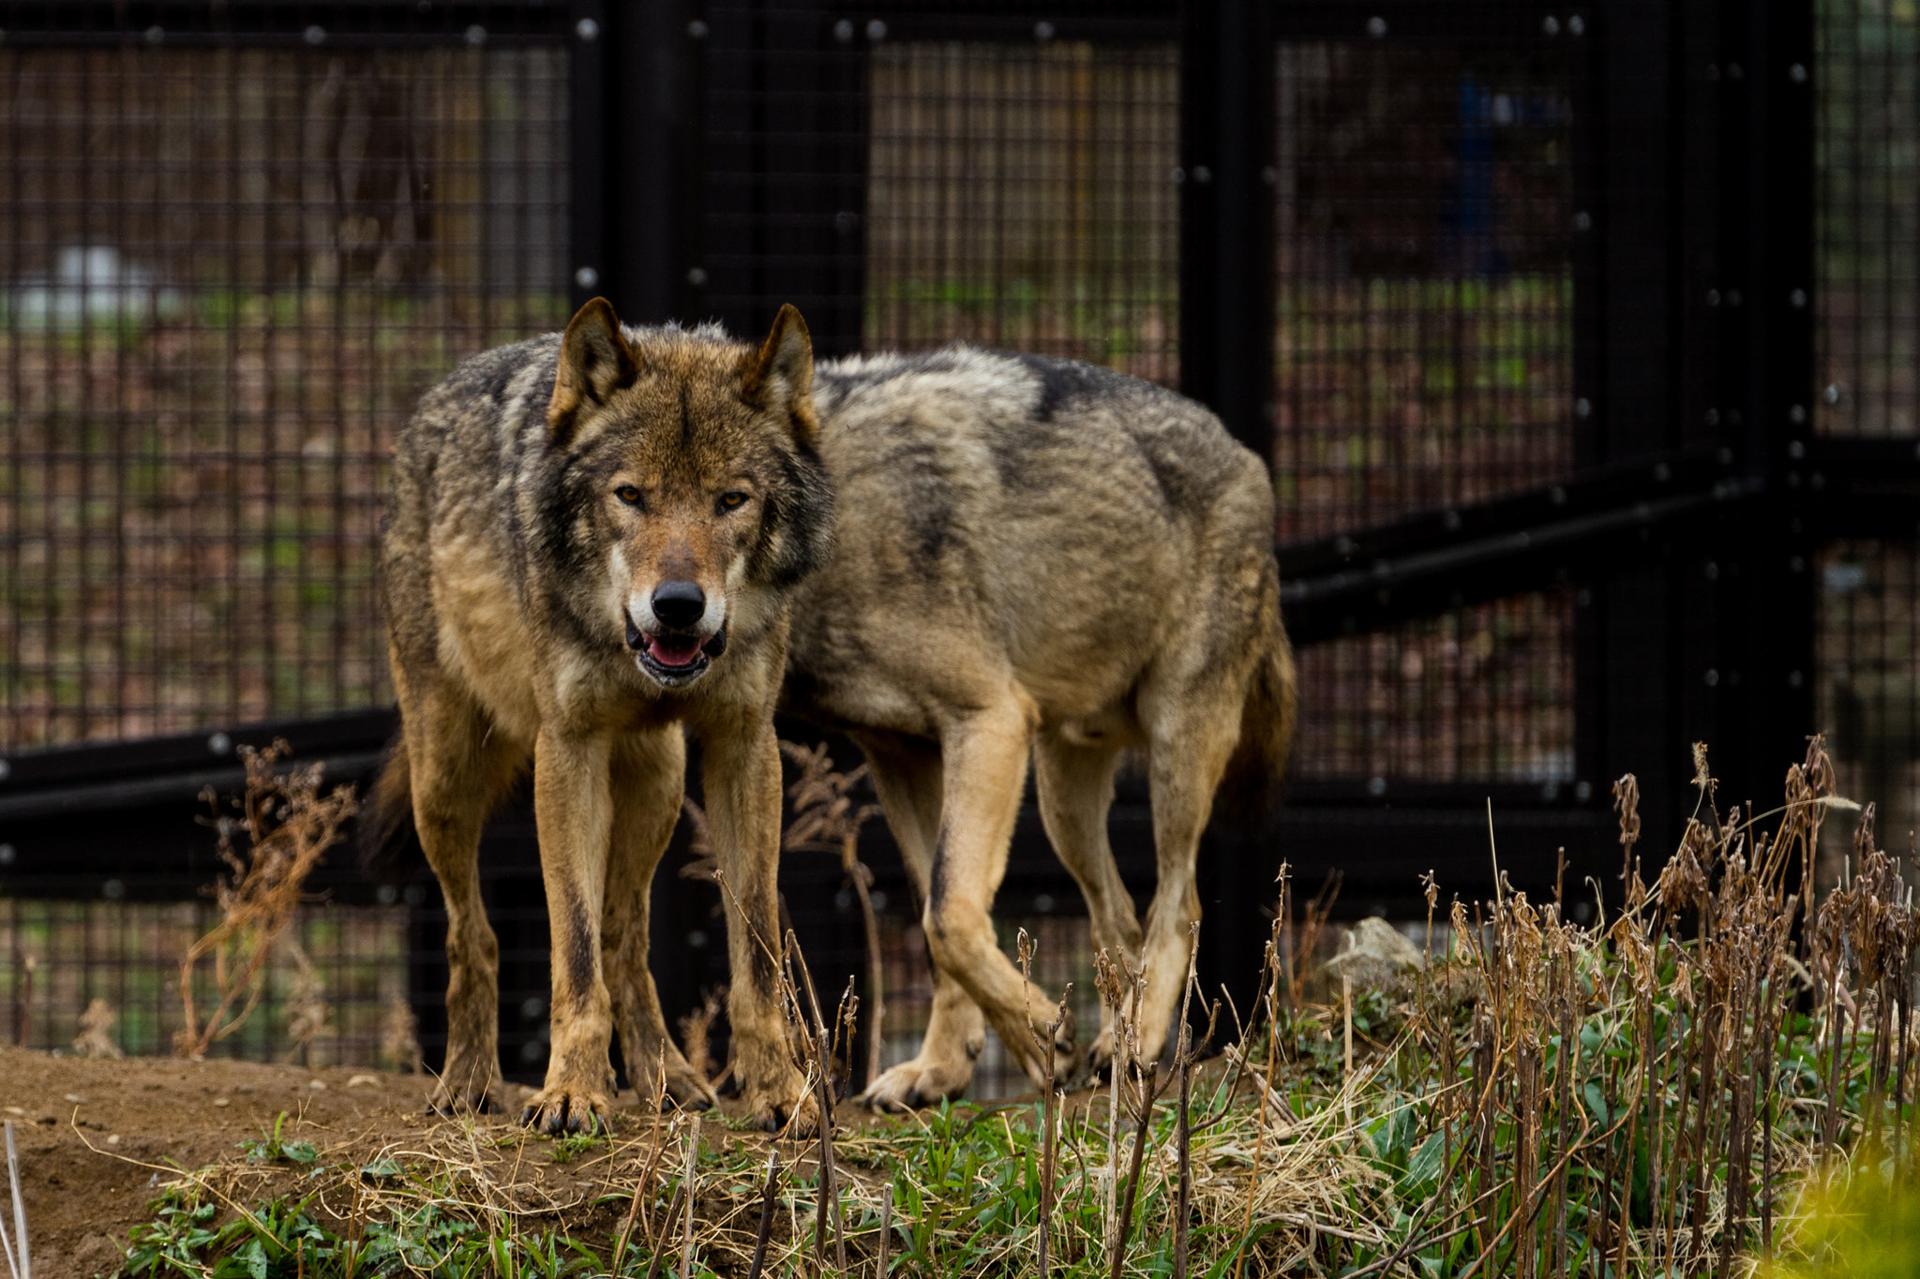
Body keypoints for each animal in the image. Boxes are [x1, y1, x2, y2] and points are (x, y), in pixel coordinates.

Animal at [366, 301, 833, 1136]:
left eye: (731, 500)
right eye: (630, 495)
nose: (677, 605)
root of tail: (429, 404)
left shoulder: (745, 745)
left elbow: (752, 949)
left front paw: (783, 1092)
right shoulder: (569, 751)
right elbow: (573, 951)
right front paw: (571, 1094)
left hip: (658, 783)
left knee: (629, 934)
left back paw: (666, 1079)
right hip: (444, 778)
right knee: (472, 935)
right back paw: (467, 1082)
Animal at [787, 345, 1297, 1106]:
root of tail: (1246, 454)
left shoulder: (989, 719)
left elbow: (949, 915)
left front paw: (1040, 1040)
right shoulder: (900, 756)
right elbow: (937, 918)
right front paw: (943, 1067)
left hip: (1176, 751)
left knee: (1178, 904)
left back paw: (1137, 1042)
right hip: (1063, 804)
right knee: (1120, 918)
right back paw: (1116, 1034)